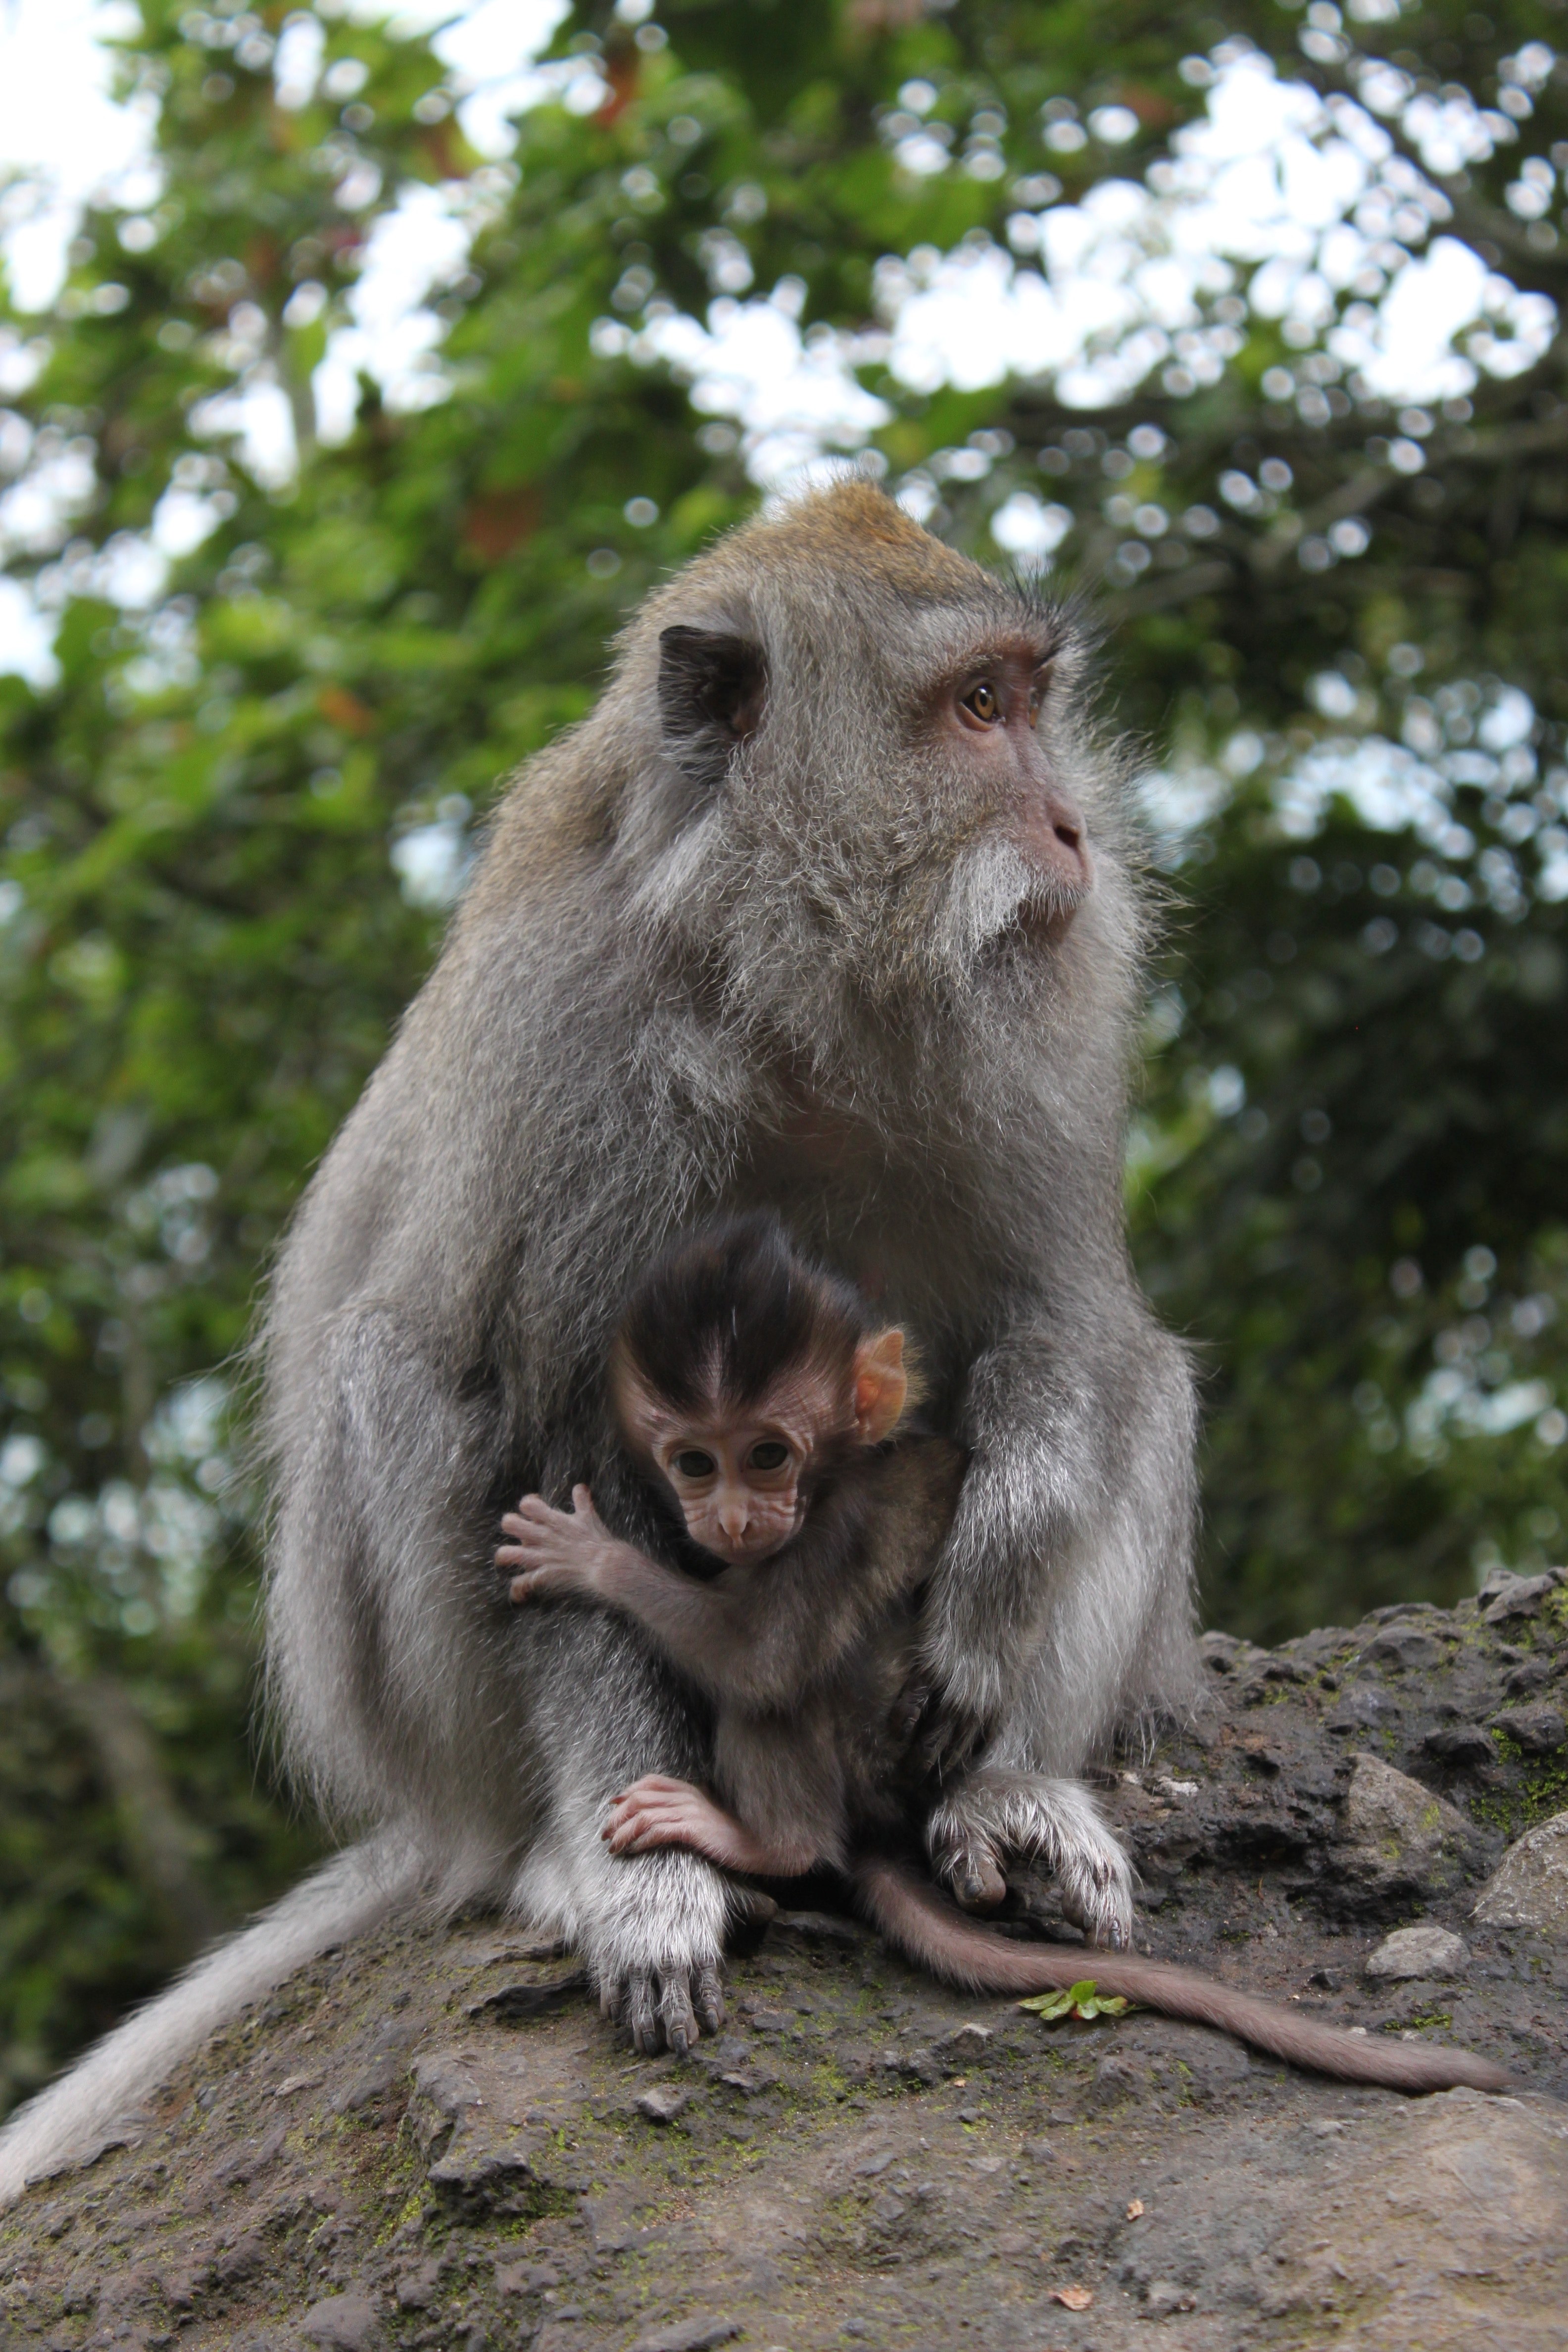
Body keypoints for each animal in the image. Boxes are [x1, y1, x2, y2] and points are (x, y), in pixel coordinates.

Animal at [501, 1216, 1511, 2096]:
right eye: (694, 1463)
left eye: (767, 1454)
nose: (733, 1521)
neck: (839, 1473)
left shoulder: (835, 1528)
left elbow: (763, 1657)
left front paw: (593, 1560)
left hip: (868, 1749)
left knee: (781, 1707)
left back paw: (766, 1842)